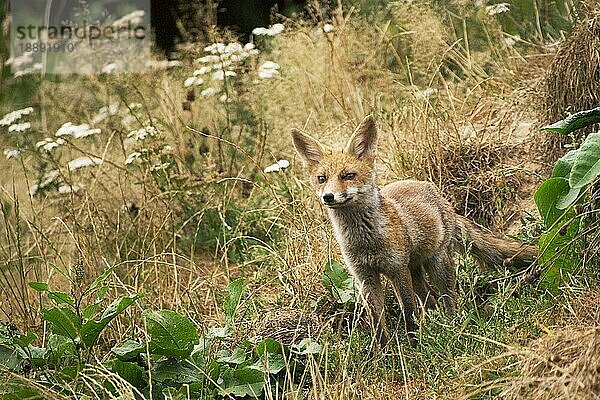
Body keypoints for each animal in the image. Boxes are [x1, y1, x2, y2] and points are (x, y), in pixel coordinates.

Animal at [292, 115, 540, 344]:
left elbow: (409, 312)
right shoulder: (365, 278)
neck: (366, 240)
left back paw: (451, 326)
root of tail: (437, 193)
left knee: (447, 298)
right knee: (429, 298)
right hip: (415, 269)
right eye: (321, 178)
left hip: (437, 264)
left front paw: (413, 344)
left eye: (348, 176)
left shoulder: (397, 270)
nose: (328, 196)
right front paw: (382, 354)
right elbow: (377, 323)